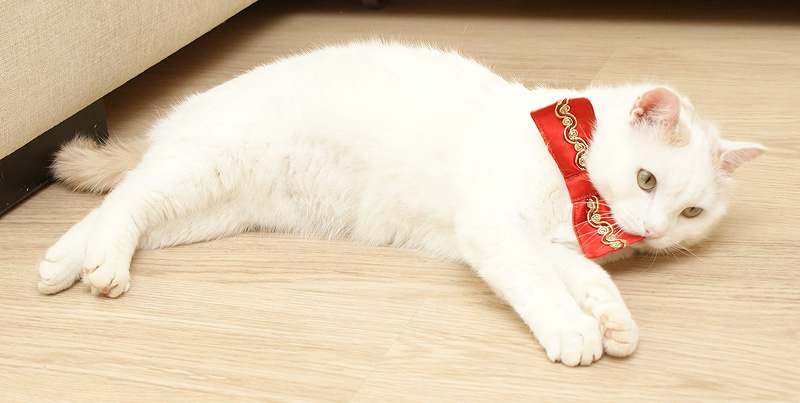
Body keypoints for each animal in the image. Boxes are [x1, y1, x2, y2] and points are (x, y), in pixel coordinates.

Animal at [37, 41, 765, 366]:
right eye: (646, 180)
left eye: (691, 214)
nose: (651, 231)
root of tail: (183, 112)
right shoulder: (498, 229)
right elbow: (542, 285)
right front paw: (573, 329)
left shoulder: (546, 241)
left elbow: (587, 277)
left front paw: (611, 319)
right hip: (206, 168)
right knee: (128, 197)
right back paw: (102, 265)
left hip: (206, 209)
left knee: (113, 209)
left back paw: (69, 263)